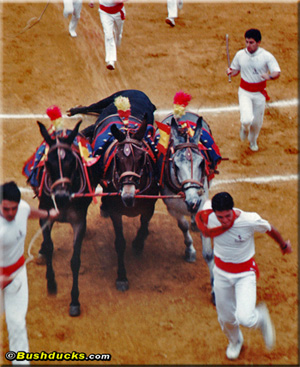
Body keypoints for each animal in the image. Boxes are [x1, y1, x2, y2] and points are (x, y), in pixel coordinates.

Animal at [28, 121, 94, 316]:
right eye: (48, 163)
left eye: (72, 162)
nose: (62, 196)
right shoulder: (46, 216)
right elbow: (50, 247)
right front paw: (51, 284)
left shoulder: (79, 222)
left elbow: (75, 260)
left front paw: (74, 300)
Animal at [93, 115, 159, 294]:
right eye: (117, 158)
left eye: (142, 157)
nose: (128, 196)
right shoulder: (116, 212)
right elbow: (120, 242)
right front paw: (121, 277)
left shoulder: (150, 207)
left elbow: (143, 225)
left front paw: (138, 244)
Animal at [158, 113, 219, 304]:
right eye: (175, 165)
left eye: (201, 163)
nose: (193, 201)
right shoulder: (172, 207)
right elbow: (182, 226)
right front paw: (190, 250)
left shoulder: (202, 203)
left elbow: (208, 254)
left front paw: (215, 290)